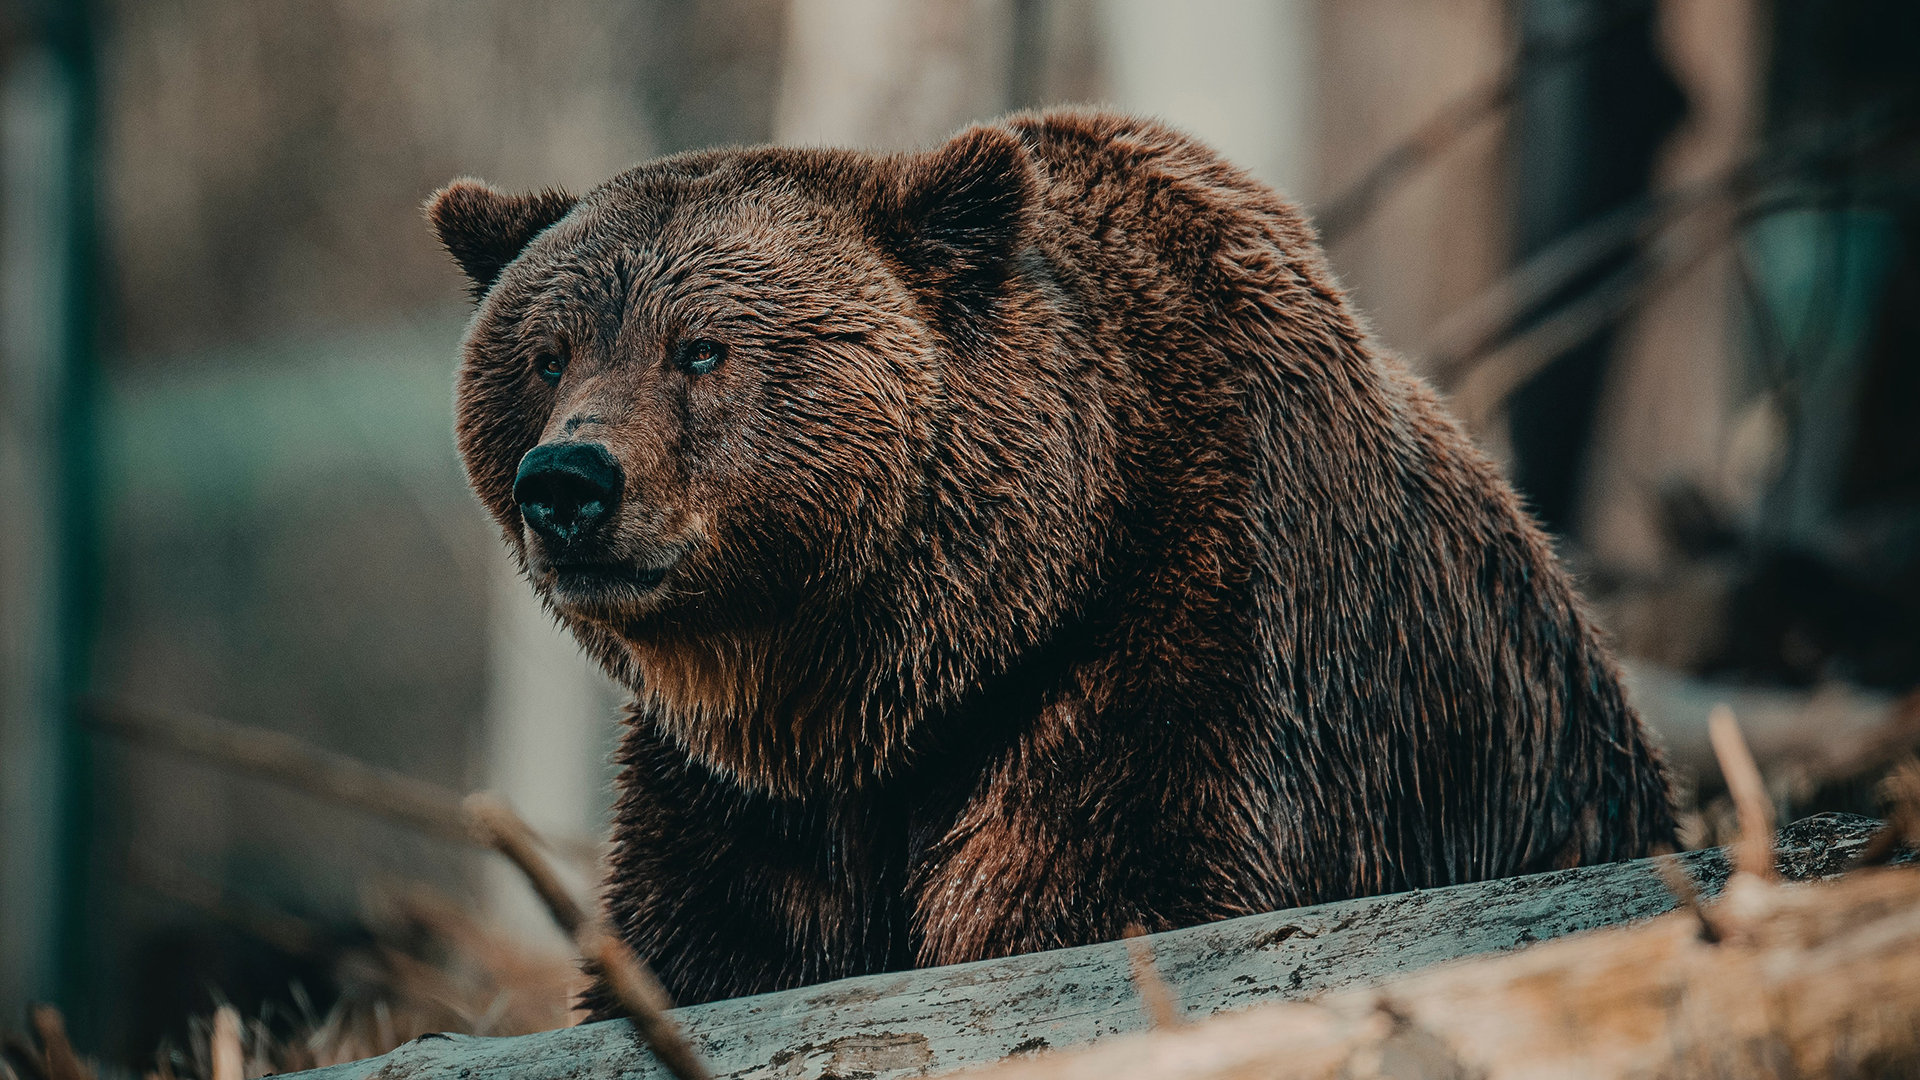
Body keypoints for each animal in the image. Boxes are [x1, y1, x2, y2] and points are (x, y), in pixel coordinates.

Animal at [426, 108, 1676, 1011]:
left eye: (701, 349)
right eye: (546, 354)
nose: (568, 483)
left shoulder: (1195, 637)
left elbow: (1103, 891)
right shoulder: (748, 796)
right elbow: (707, 944)